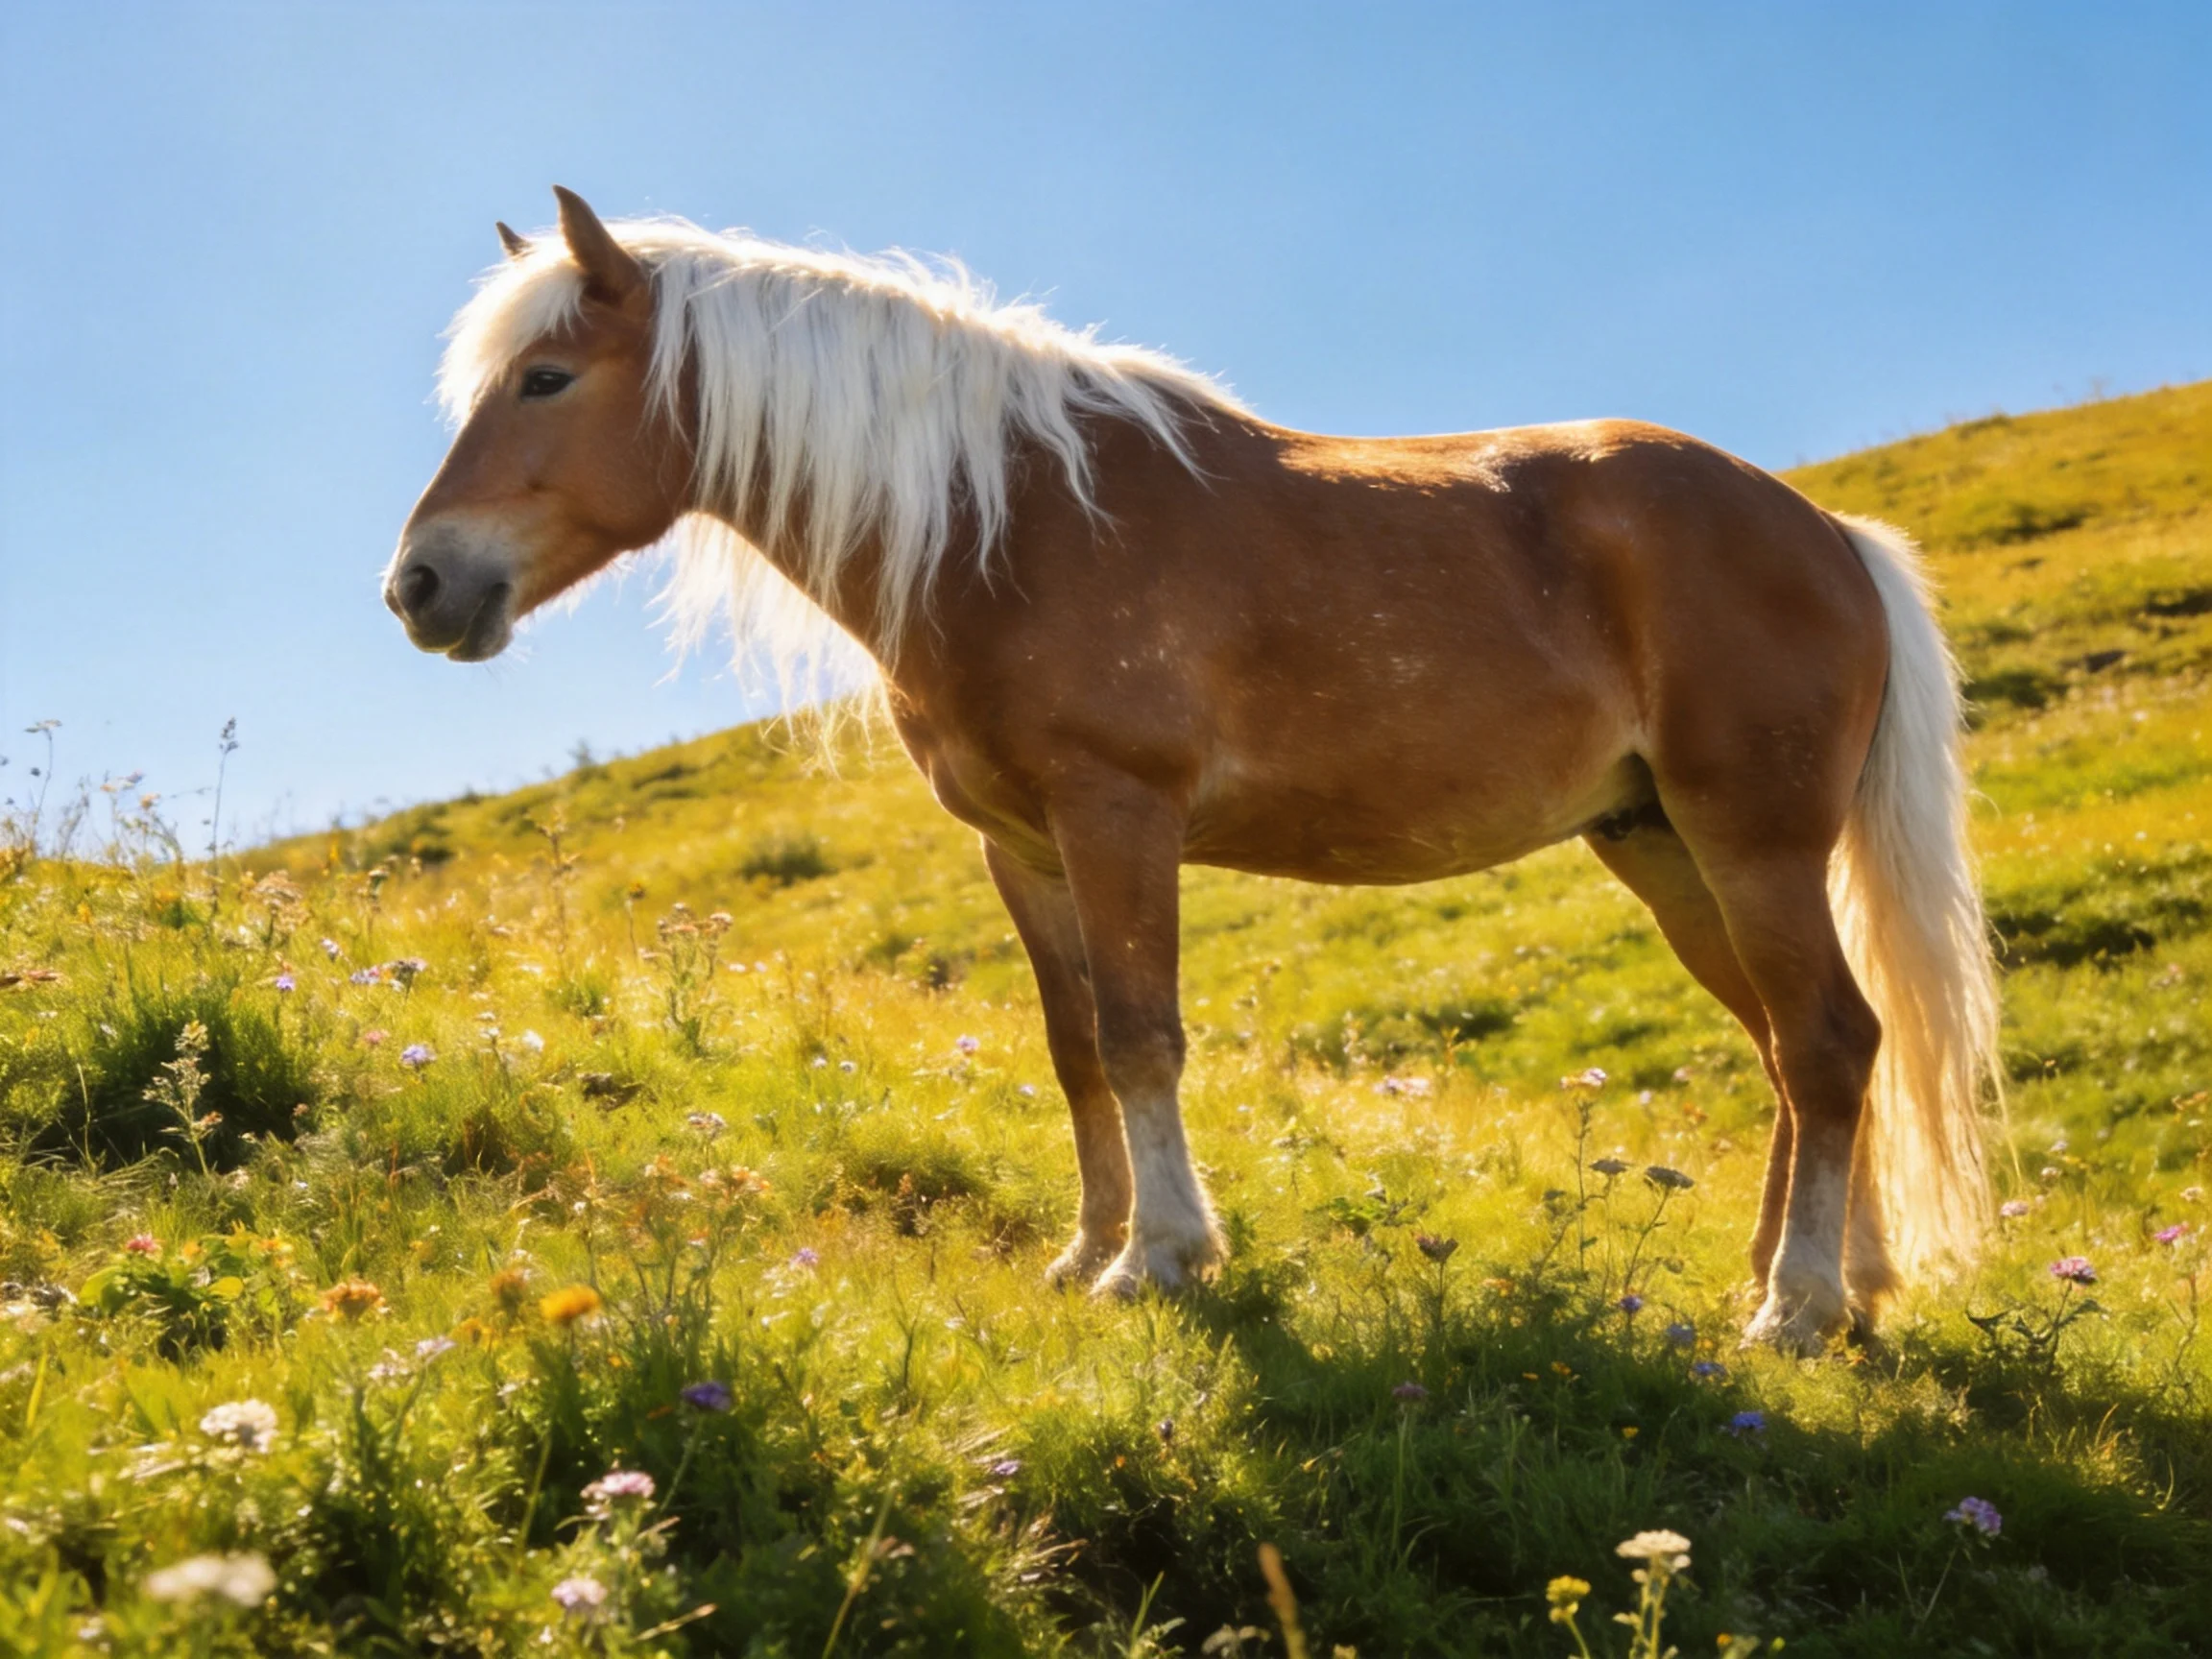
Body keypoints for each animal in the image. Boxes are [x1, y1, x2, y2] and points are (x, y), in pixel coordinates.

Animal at [385, 187, 2000, 1352]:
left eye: (546, 377)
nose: (420, 585)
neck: (1005, 520)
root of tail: (1828, 532)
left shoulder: (1119, 816)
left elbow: (1146, 1035)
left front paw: (1161, 1260)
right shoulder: (1023, 848)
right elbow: (1075, 1045)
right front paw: (1088, 1249)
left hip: (1753, 843)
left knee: (1831, 1043)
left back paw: (1796, 1309)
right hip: (1664, 850)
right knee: (1798, 1052)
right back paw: (1827, 1284)